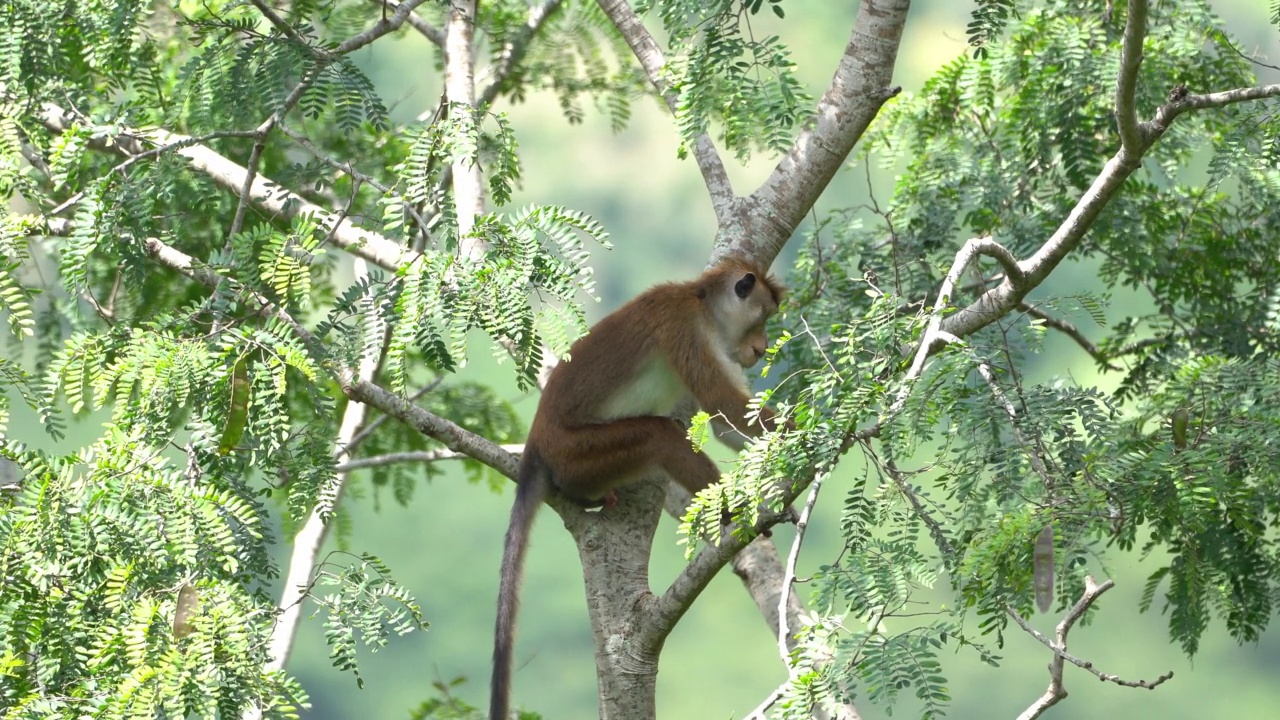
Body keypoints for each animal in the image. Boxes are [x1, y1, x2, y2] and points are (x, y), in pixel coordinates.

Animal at [488, 257, 783, 717]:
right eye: (762, 318)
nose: (762, 347)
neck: (702, 303)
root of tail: (537, 446)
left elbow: (725, 424)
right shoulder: (684, 328)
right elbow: (726, 407)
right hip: (581, 455)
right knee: (659, 436)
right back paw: (732, 512)